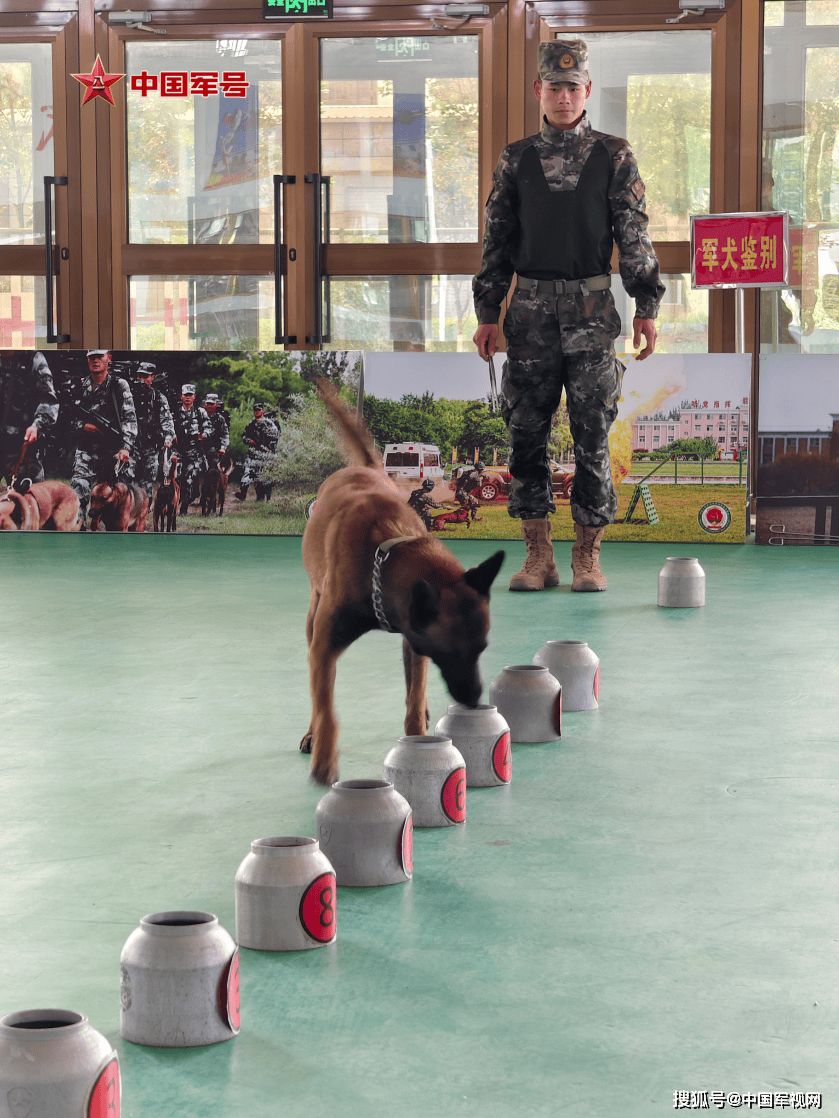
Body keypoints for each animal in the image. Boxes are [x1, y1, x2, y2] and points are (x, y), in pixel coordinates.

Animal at [299, 382, 503, 787]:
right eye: (452, 651)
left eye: (482, 648)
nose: (475, 699)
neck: (385, 554)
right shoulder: (326, 646)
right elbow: (326, 706)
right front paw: (325, 757)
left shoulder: (416, 640)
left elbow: (413, 697)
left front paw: (417, 738)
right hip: (313, 619)